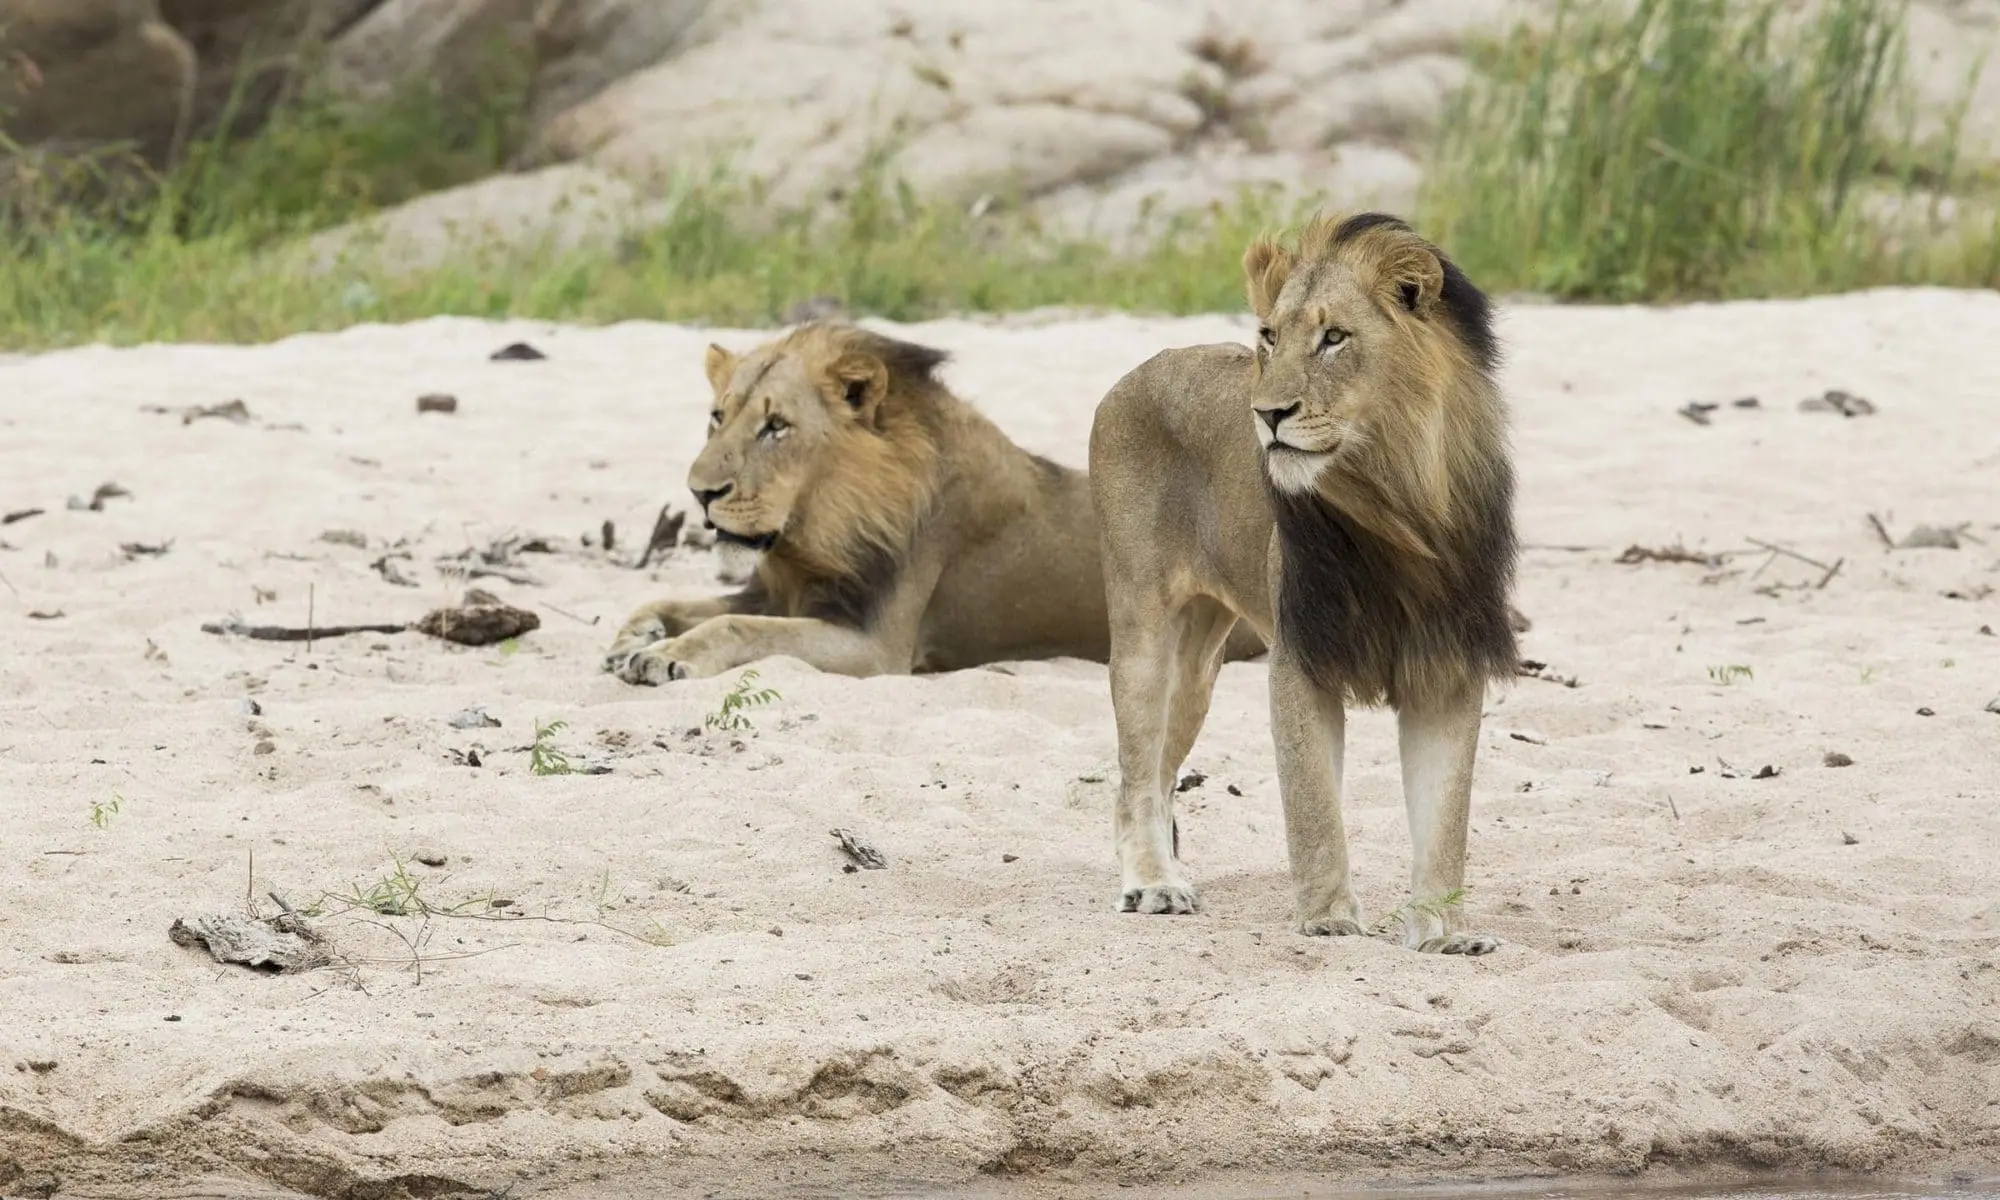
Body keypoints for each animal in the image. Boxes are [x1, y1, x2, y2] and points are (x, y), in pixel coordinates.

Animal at [602, 321, 1267, 683]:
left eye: (776, 427)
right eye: (718, 417)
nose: (700, 492)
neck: (815, 531)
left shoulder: (876, 646)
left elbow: (733, 626)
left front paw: (665, 656)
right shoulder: (774, 591)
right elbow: (672, 601)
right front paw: (632, 640)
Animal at [1087, 211, 1519, 956]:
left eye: (1334, 337)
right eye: (1270, 336)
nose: (1266, 415)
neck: (1400, 503)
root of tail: (1144, 366)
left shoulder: (1448, 666)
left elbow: (1445, 818)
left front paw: (1441, 933)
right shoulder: (1301, 656)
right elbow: (1314, 802)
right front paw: (1329, 919)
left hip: (1198, 667)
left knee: (1164, 771)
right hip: (1144, 627)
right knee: (1135, 772)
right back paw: (1152, 884)